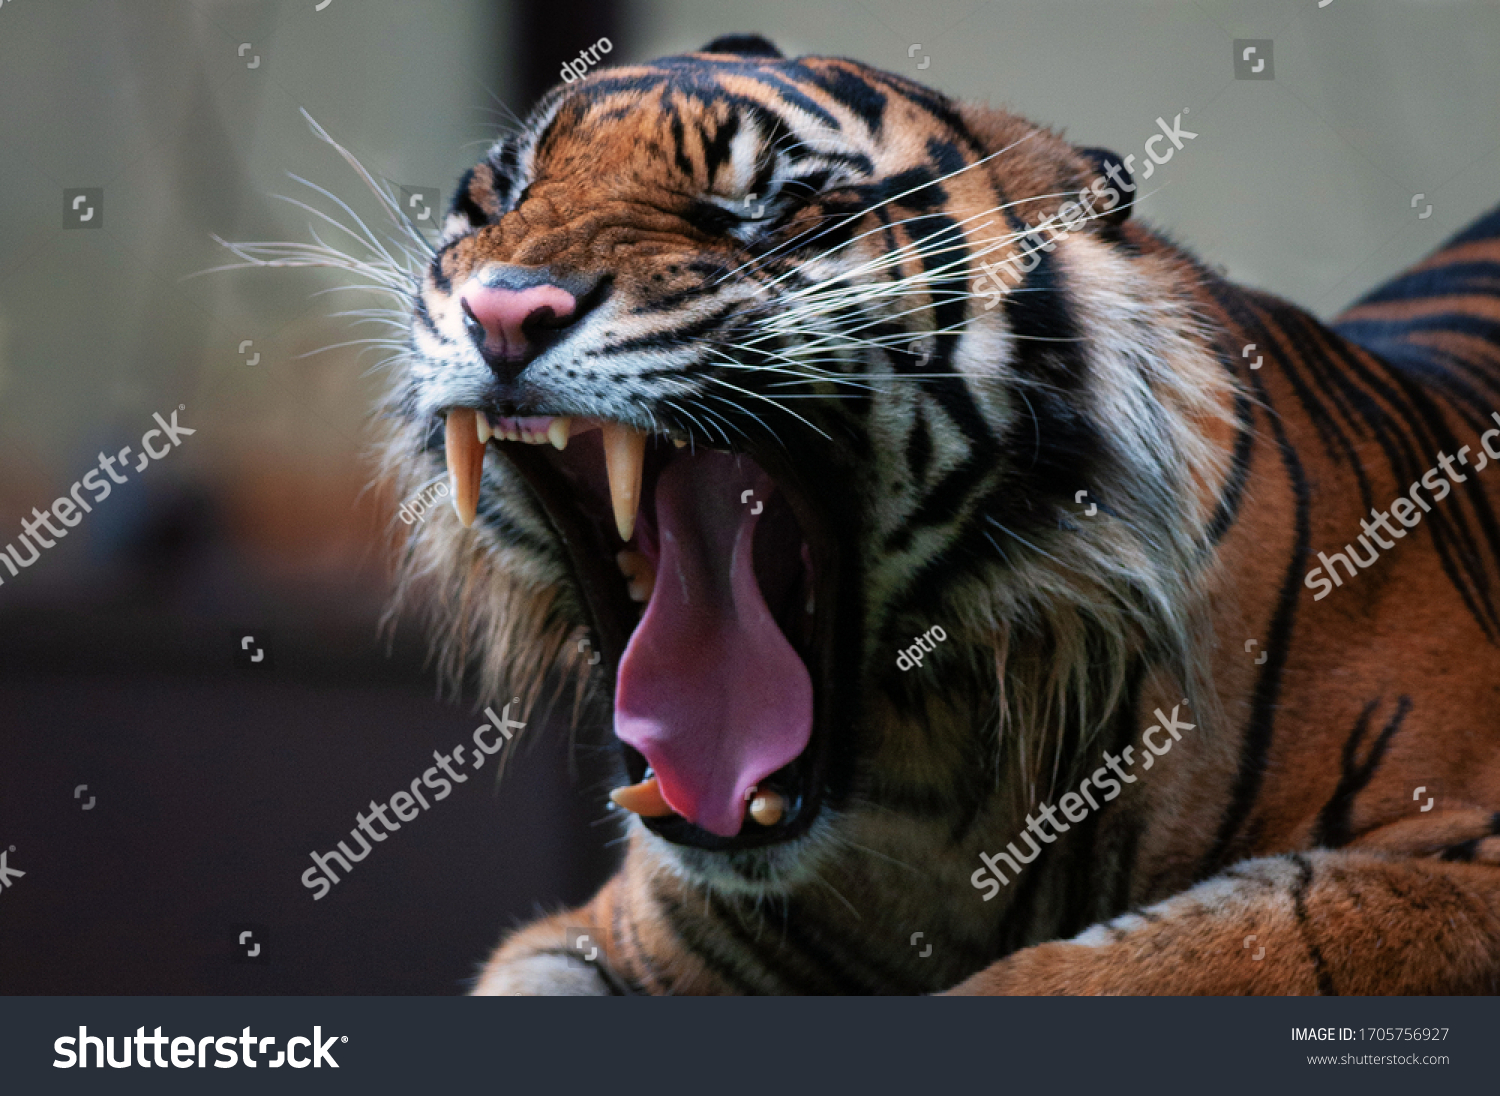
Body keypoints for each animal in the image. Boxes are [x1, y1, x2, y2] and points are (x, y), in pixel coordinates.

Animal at [372, 36, 1500, 995]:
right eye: (502, 195)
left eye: (776, 202)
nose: (506, 310)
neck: (936, 781)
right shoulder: (625, 930)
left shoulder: (1453, 863)